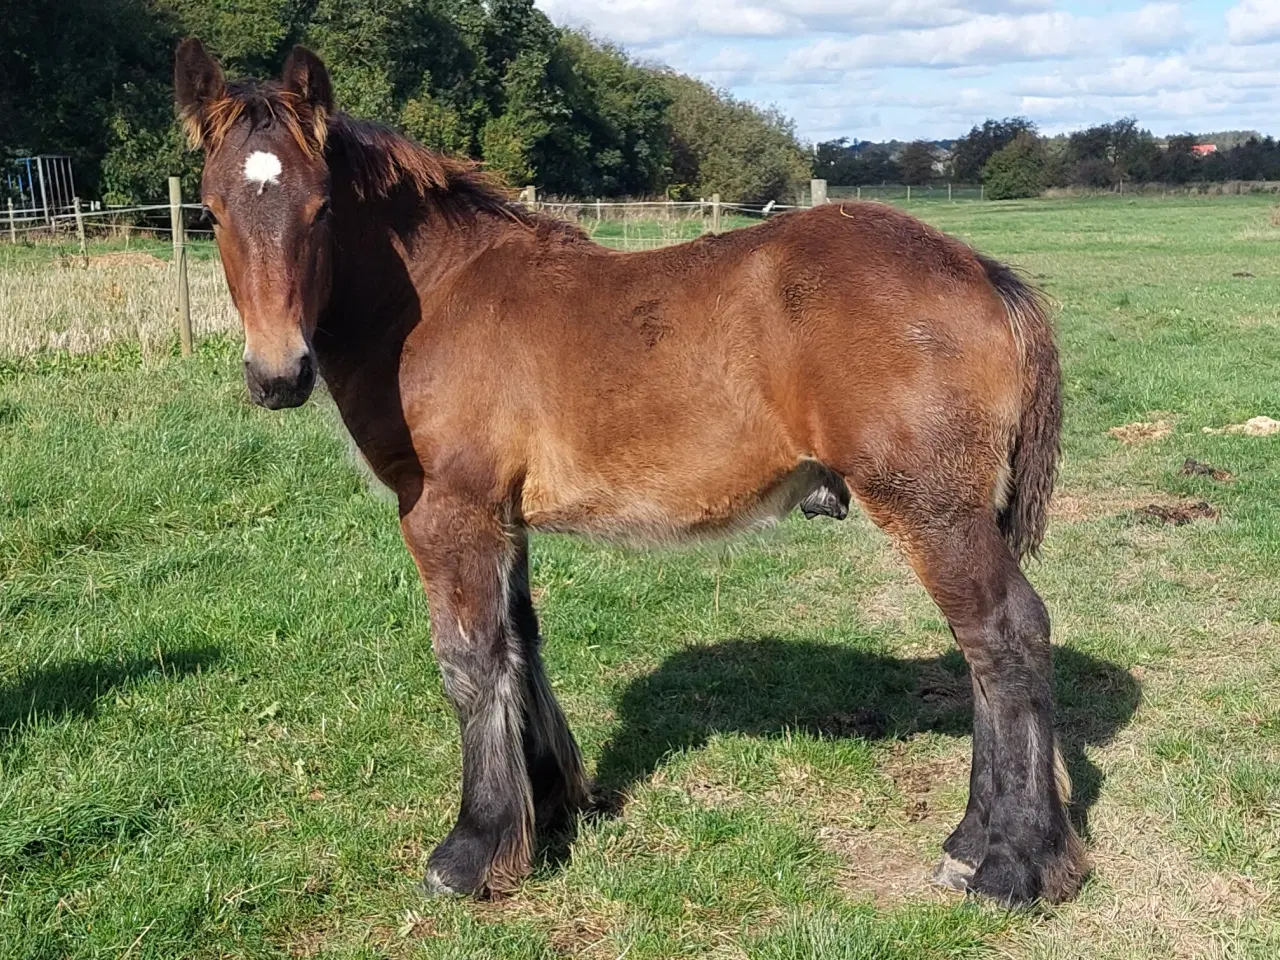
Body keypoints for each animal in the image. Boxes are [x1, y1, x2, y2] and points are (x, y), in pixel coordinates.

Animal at [177, 39, 1080, 911]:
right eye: (211, 213)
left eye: (321, 208)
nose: (278, 375)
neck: (437, 299)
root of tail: (981, 272)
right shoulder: (505, 519)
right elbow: (520, 642)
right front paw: (550, 805)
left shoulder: (449, 512)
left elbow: (469, 662)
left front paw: (472, 851)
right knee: (982, 653)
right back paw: (970, 843)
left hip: (931, 510)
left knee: (1005, 636)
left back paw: (1010, 866)